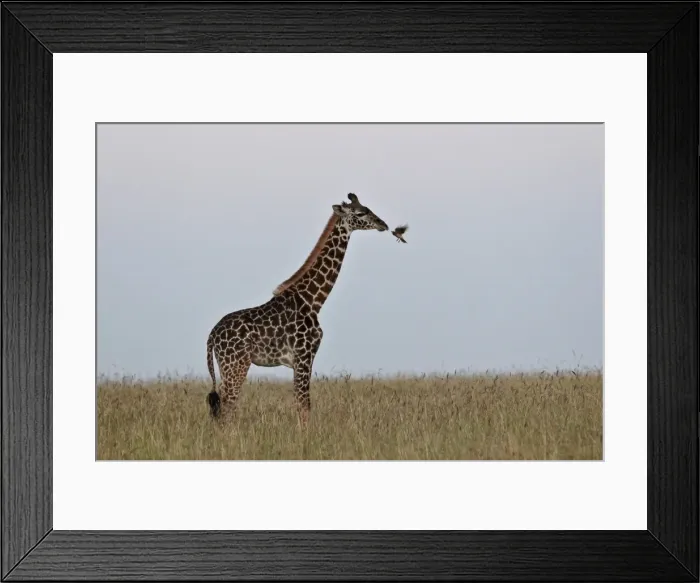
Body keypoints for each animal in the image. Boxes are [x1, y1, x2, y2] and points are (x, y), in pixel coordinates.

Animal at [206, 193, 389, 425]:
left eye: (368, 208)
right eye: (360, 213)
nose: (383, 224)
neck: (313, 300)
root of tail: (212, 335)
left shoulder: (300, 360)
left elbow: (301, 404)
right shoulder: (304, 356)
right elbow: (304, 405)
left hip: (225, 366)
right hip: (236, 364)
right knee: (227, 408)